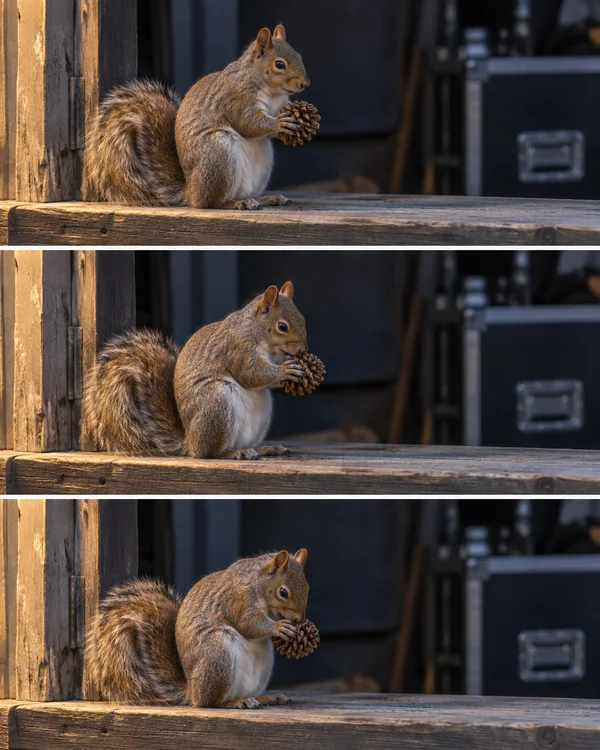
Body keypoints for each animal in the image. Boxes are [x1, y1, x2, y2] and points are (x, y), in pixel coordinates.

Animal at [84, 25, 310, 210]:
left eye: (300, 56)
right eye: (279, 64)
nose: (305, 84)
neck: (272, 92)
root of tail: (191, 190)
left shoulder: (280, 103)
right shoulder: (236, 98)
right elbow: (249, 123)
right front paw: (279, 124)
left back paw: (266, 198)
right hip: (219, 153)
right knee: (211, 202)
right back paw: (237, 203)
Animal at [84, 281, 307, 459]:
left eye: (303, 319)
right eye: (282, 326)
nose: (302, 350)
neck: (256, 330)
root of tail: (189, 441)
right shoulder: (238, 348)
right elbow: (249, 374)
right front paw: (285, 370)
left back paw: (265, 449)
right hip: (216, 403)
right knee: (209, 453)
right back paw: (236, 452)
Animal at [85, 549, 309, 708]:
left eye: (307, 587)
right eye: (283, 592)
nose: (299, 619)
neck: (256, 583)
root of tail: (191, 689)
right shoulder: (236, 600)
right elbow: (248, 625)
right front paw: (278, 627)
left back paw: (266, 698)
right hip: (218, 652)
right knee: (210, 702)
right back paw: (236, 702)